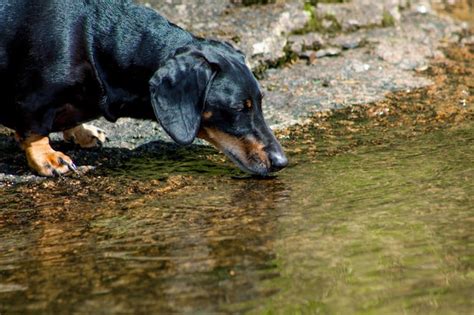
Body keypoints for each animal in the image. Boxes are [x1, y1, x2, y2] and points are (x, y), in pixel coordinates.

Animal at [0, 0, 288, 178]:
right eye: (239, 108)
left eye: (260, 102)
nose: (282, 162)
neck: (94, 42)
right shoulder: (35, 100)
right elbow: (34, 129)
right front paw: (48, 157)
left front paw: (81, 131)